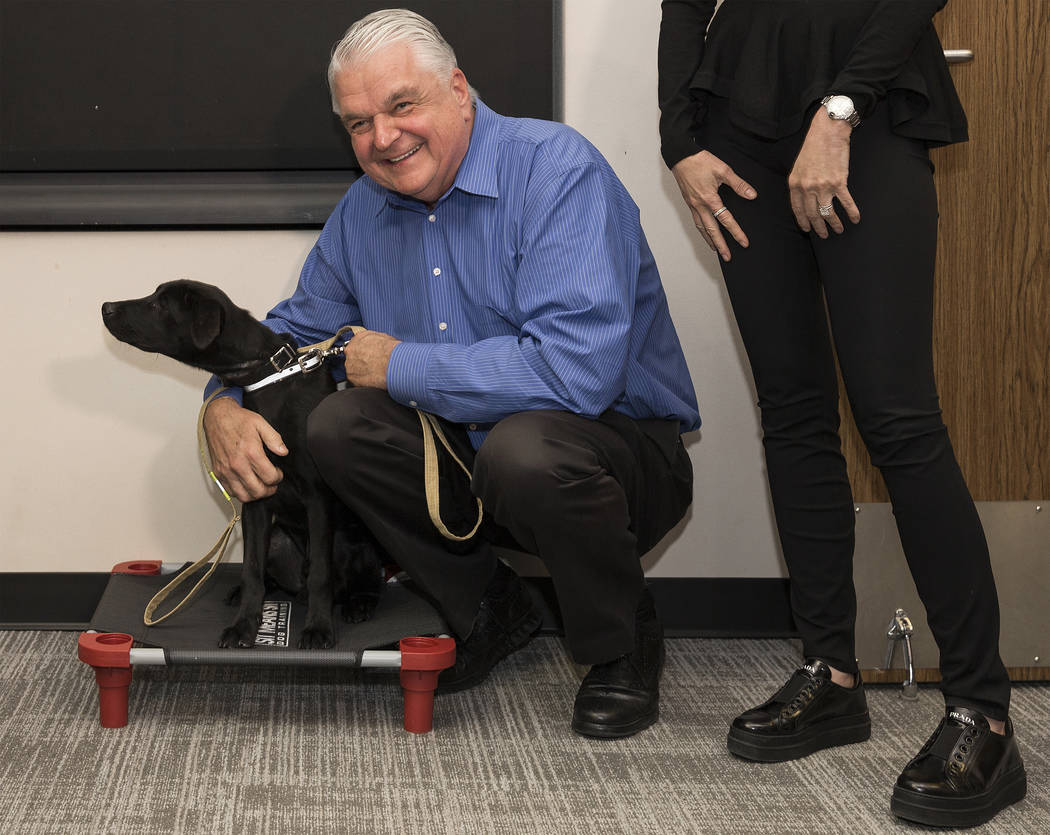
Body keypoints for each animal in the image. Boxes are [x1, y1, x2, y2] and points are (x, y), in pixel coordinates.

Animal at [99, 277, 382, 651]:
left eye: (160, 304)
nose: (106, 307)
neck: (268, 375)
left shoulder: (317, 497)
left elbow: (321, 572)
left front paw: (319, 628)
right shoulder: (255, 500)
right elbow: (251, 569)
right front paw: (244, 625)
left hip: (355, 542)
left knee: (359, 579)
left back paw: (359, 602)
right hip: (277, 539)